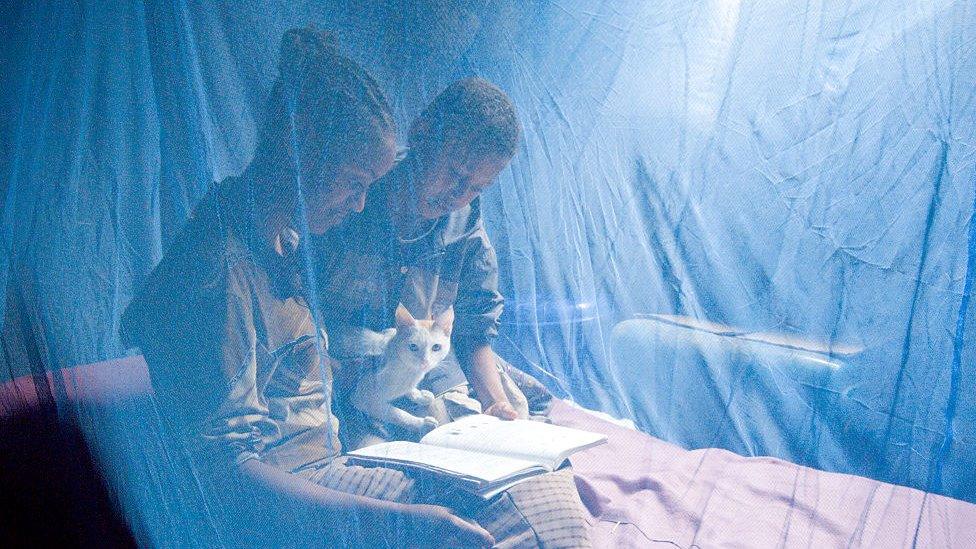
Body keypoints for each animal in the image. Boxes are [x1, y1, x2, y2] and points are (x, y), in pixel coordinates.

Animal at [348, 304, 456, 432]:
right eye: (413, 346)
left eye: (436, 347)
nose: (425, 362)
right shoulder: (363, 399)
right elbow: (396, 414)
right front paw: (422, 424)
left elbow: (410, 390)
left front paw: (420, 396)